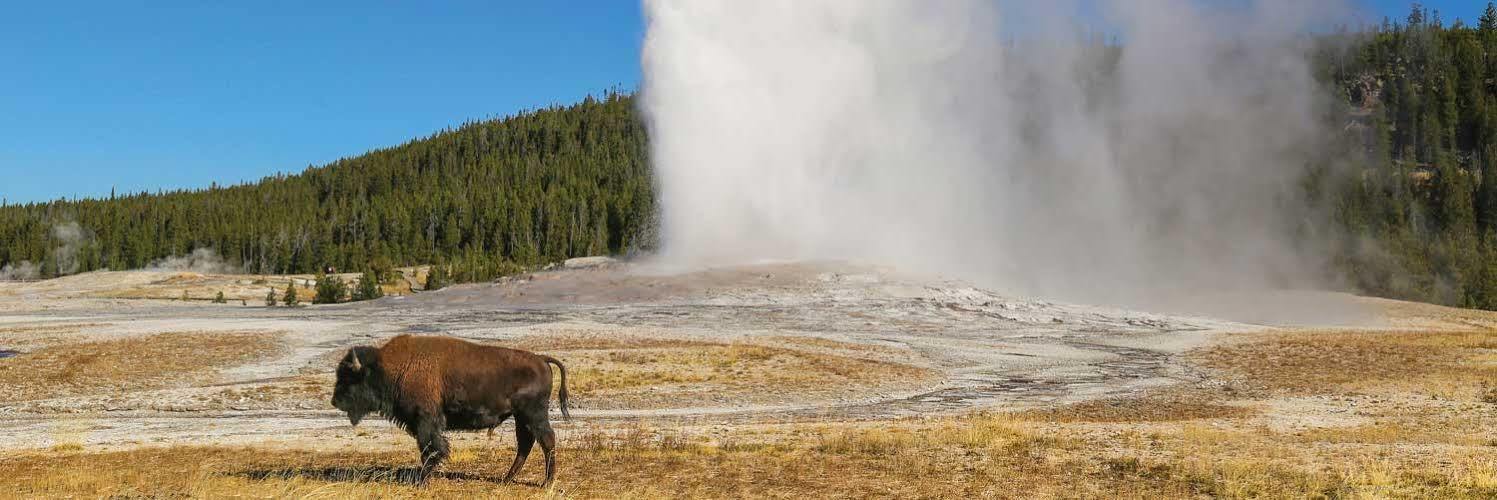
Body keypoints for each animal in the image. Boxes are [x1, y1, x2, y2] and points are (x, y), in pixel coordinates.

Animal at [330, 333, 568, 485]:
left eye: (348, 377)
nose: (334, 401)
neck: (390, 368)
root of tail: (541, 359)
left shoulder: (425, 421)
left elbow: (430, 449)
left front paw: (422, 481)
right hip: (521, 417)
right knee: (526, 444)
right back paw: (507, 479)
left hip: (533, 414)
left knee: (547, 440)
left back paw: (546, 483)